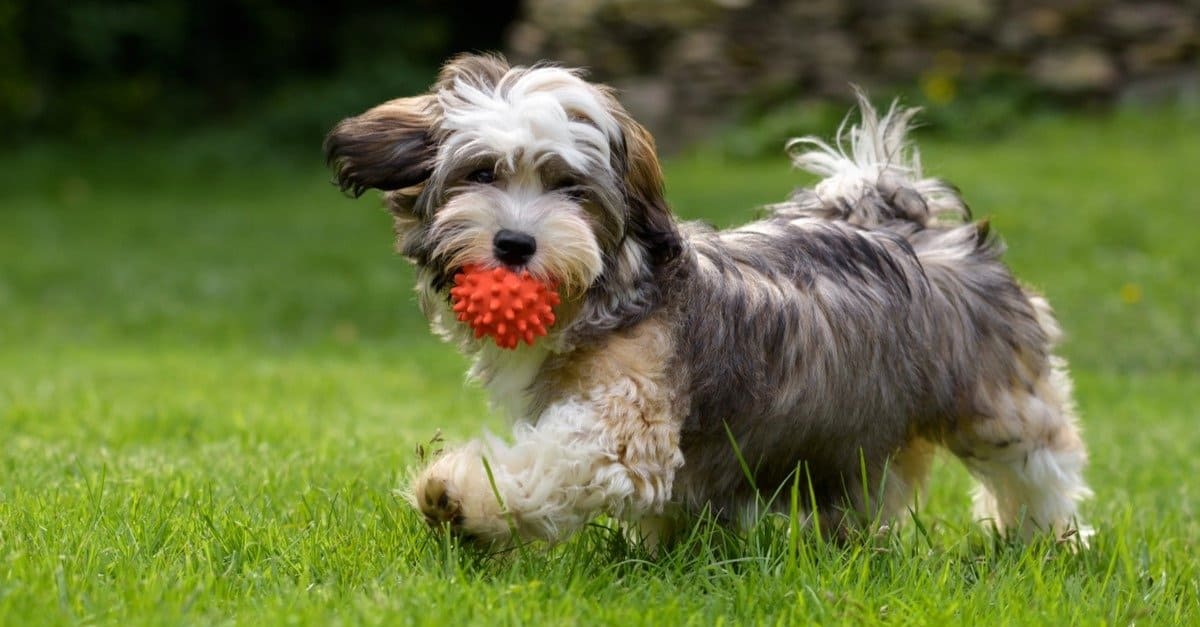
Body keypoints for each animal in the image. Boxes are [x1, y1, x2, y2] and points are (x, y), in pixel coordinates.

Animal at [324, 53, 1094, 547]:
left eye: (570, 187)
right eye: (481, 173)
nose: (514, 244)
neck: (605, 295)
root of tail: (913, 223)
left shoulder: (622, 426)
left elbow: (555, 462)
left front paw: (459, 495)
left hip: (996, 397)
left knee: (1039, 463)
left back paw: (1048, 539)